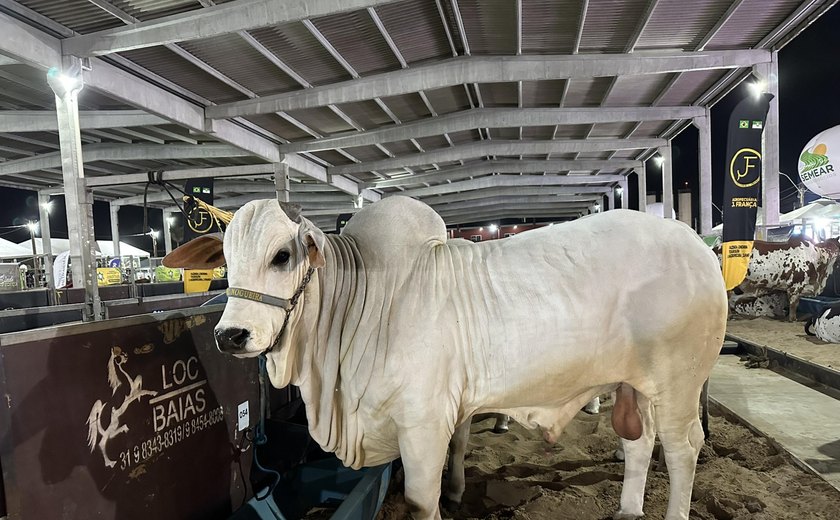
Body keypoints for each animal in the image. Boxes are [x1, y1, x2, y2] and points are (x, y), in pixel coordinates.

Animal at [166, 196, 728, 520]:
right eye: (225, 262)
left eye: (282, 256)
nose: (230, 336)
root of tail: (696, 244)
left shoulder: (423, 423)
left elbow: (422, 501)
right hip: (636, 384)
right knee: (638, 444)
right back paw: (628, 510)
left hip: (678, 386)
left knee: (682, 451)